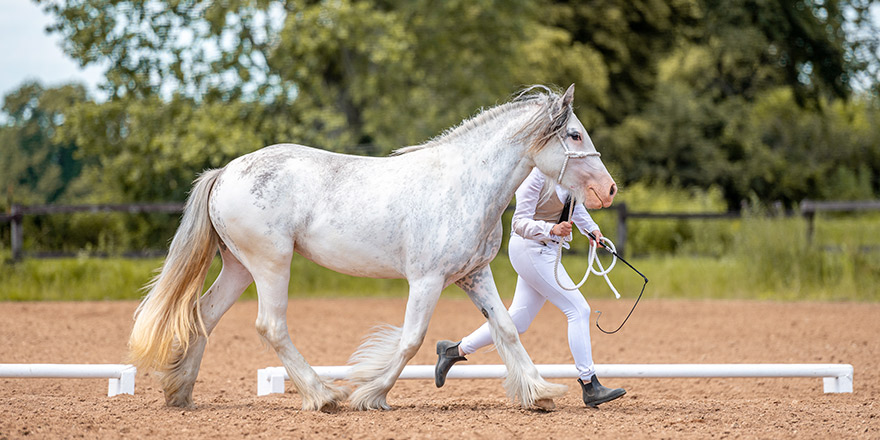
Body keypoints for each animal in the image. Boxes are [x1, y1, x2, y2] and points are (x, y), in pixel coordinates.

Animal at [127, 83, 616, 412]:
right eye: (575, 135)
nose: (608, 190)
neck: (465, 184)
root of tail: (225, 172)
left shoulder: (473, 275)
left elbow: (507, 330)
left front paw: (539, 392)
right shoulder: (427, 280)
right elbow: (410, 340)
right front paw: (371, 393)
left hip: (239, 267)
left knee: (204, 315)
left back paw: (179, 393)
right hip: (271, 264)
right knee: (271, 326)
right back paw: (324, 396)